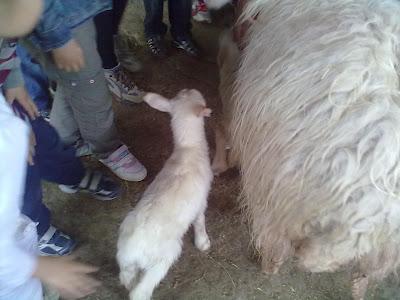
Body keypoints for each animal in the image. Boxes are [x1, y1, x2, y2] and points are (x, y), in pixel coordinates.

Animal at [116, 89, 212, 300]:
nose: (188, 89)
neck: (188, 147)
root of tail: (134, 248)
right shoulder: (201, 201)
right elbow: (200, 221)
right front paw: (203, 243)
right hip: (163, 258)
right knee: (140, 291)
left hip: (126, 262)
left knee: (126, 279)